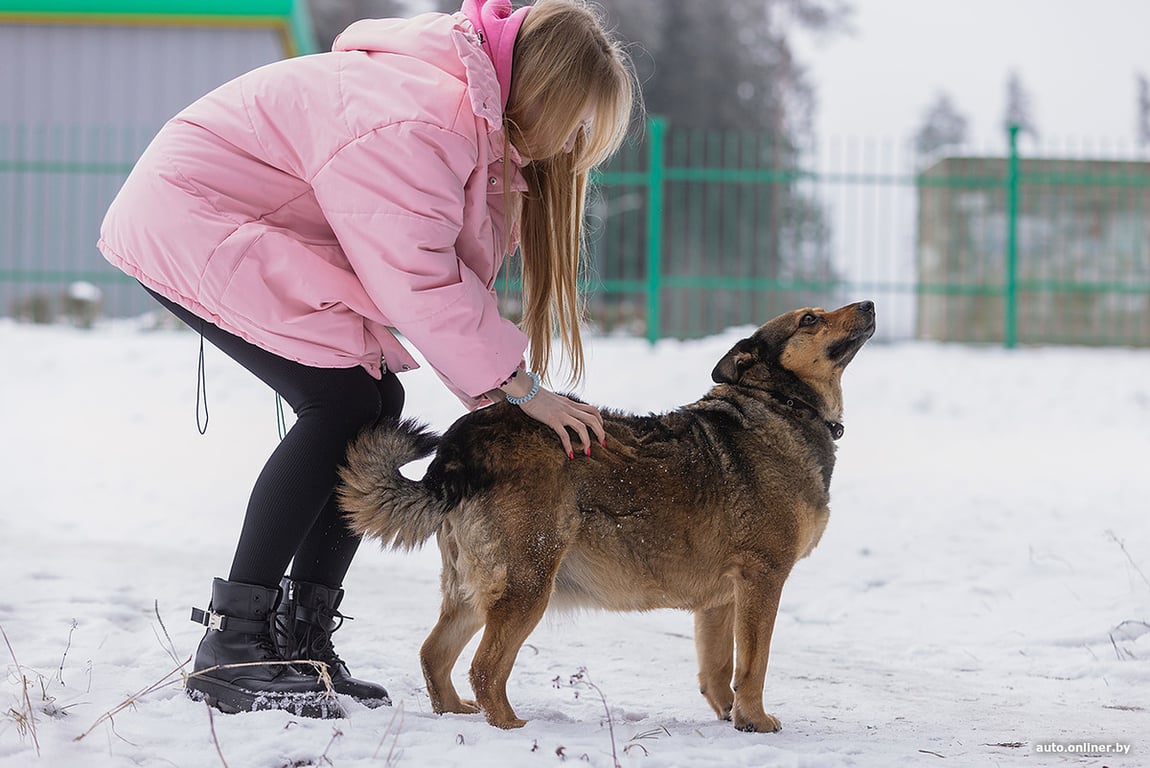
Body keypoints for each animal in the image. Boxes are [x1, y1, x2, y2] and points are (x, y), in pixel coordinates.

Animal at [335, 298, 874, 731]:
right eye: (810, 319)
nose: (869, 304)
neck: (779, 405)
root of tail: (461, 447)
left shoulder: (721, 600)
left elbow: (719, 671)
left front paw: (730, 717)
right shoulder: (763, 579)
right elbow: (754, 667)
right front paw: (755, 721)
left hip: (472, 587)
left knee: (434, 655)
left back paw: (453, 713)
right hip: (528, 581)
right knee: (485, 669)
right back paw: (511, 727)